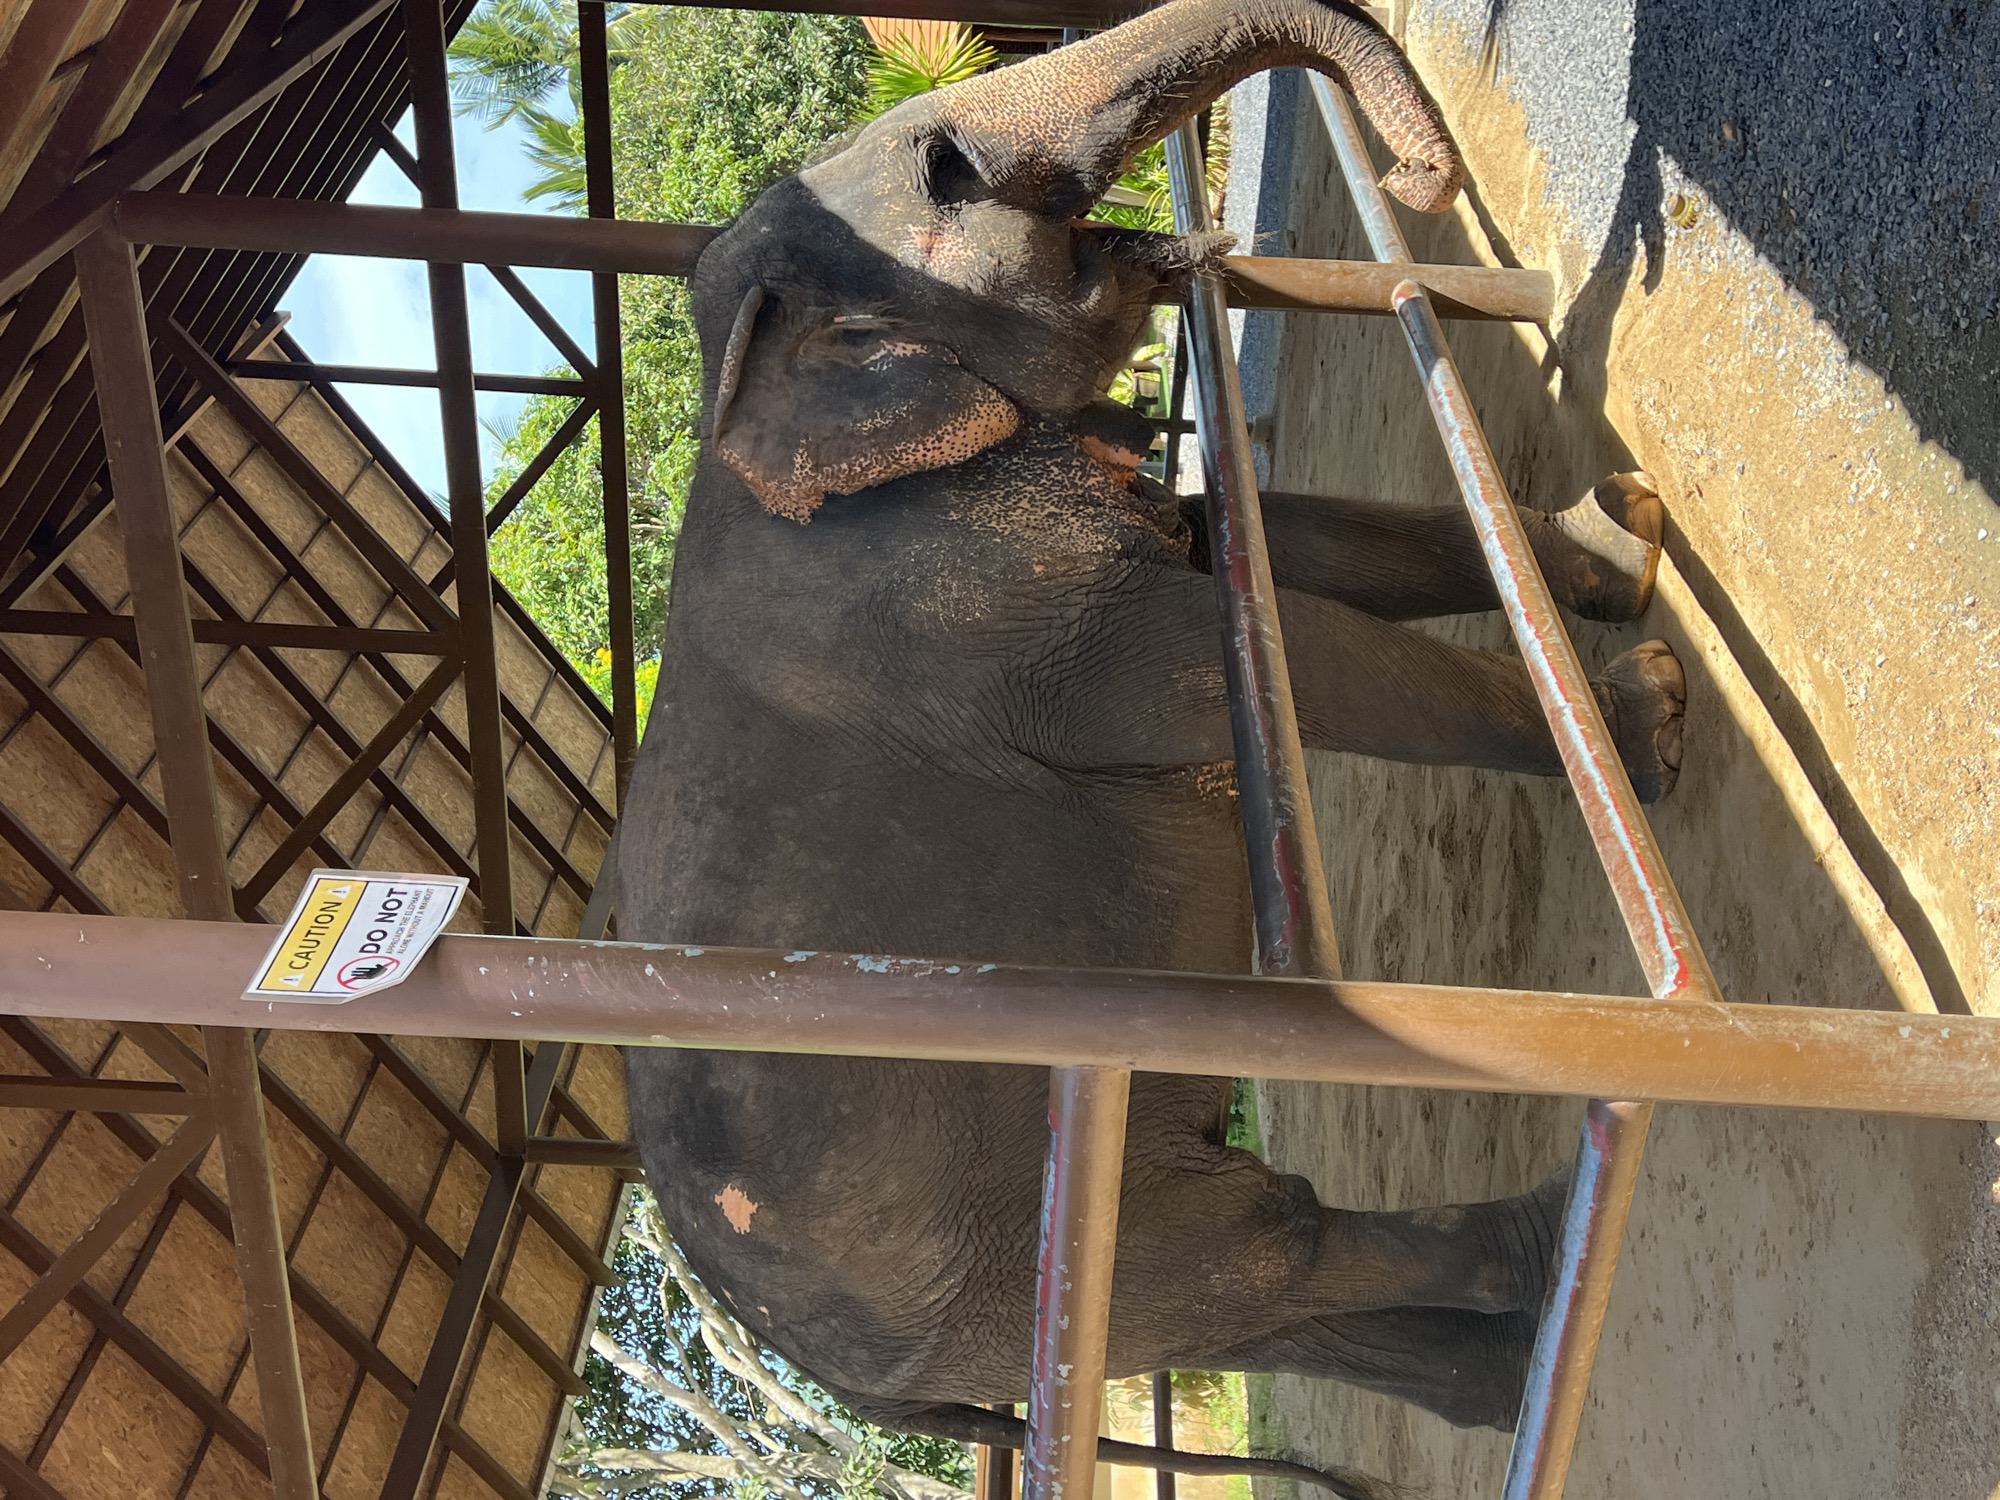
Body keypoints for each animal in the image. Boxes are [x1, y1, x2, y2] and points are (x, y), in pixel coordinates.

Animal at [616, 0, 1686, 1493]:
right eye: (950, 169)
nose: (1421, 180)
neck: (746, 409)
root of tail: (858, 1389)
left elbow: (1264, 543)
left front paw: (1624, 528)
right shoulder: (985, 622)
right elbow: (1267, 647)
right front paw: (1655, 702)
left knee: (1271, 1298)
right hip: (1010, 1249)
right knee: (1269, 1254)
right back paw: (1552, 1243)